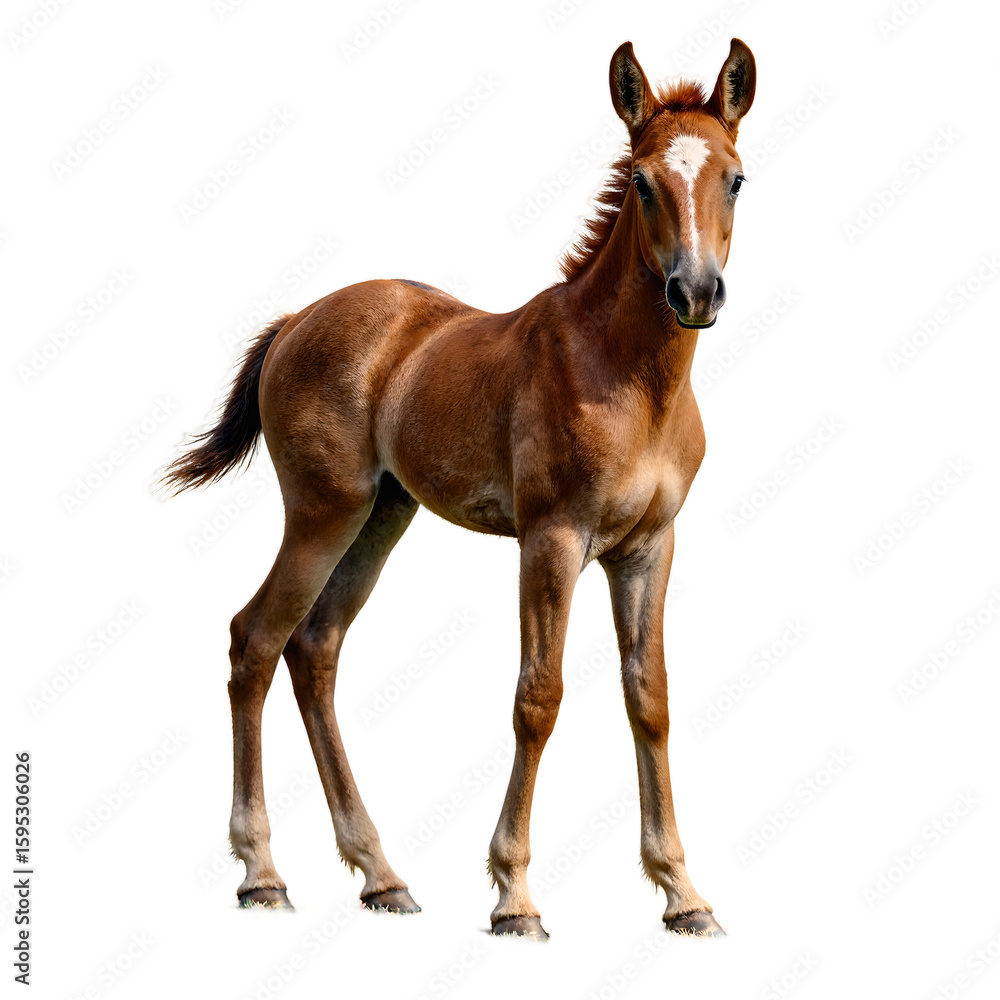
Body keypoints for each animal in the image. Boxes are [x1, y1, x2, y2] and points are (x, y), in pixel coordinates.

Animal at [164, 38, 756, 939]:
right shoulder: (552, 540)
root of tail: (298, 318)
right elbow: (538, 697)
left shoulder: (648, 548)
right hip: (323, 512)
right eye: (644, 180)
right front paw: (514, 897)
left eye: (734, 178)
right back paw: (262, 874)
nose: (694, 291)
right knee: (255, 639)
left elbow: (648, 697)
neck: (625, 375)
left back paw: (381, 876)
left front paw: (684, 895)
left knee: (315, 647)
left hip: (383, 515)